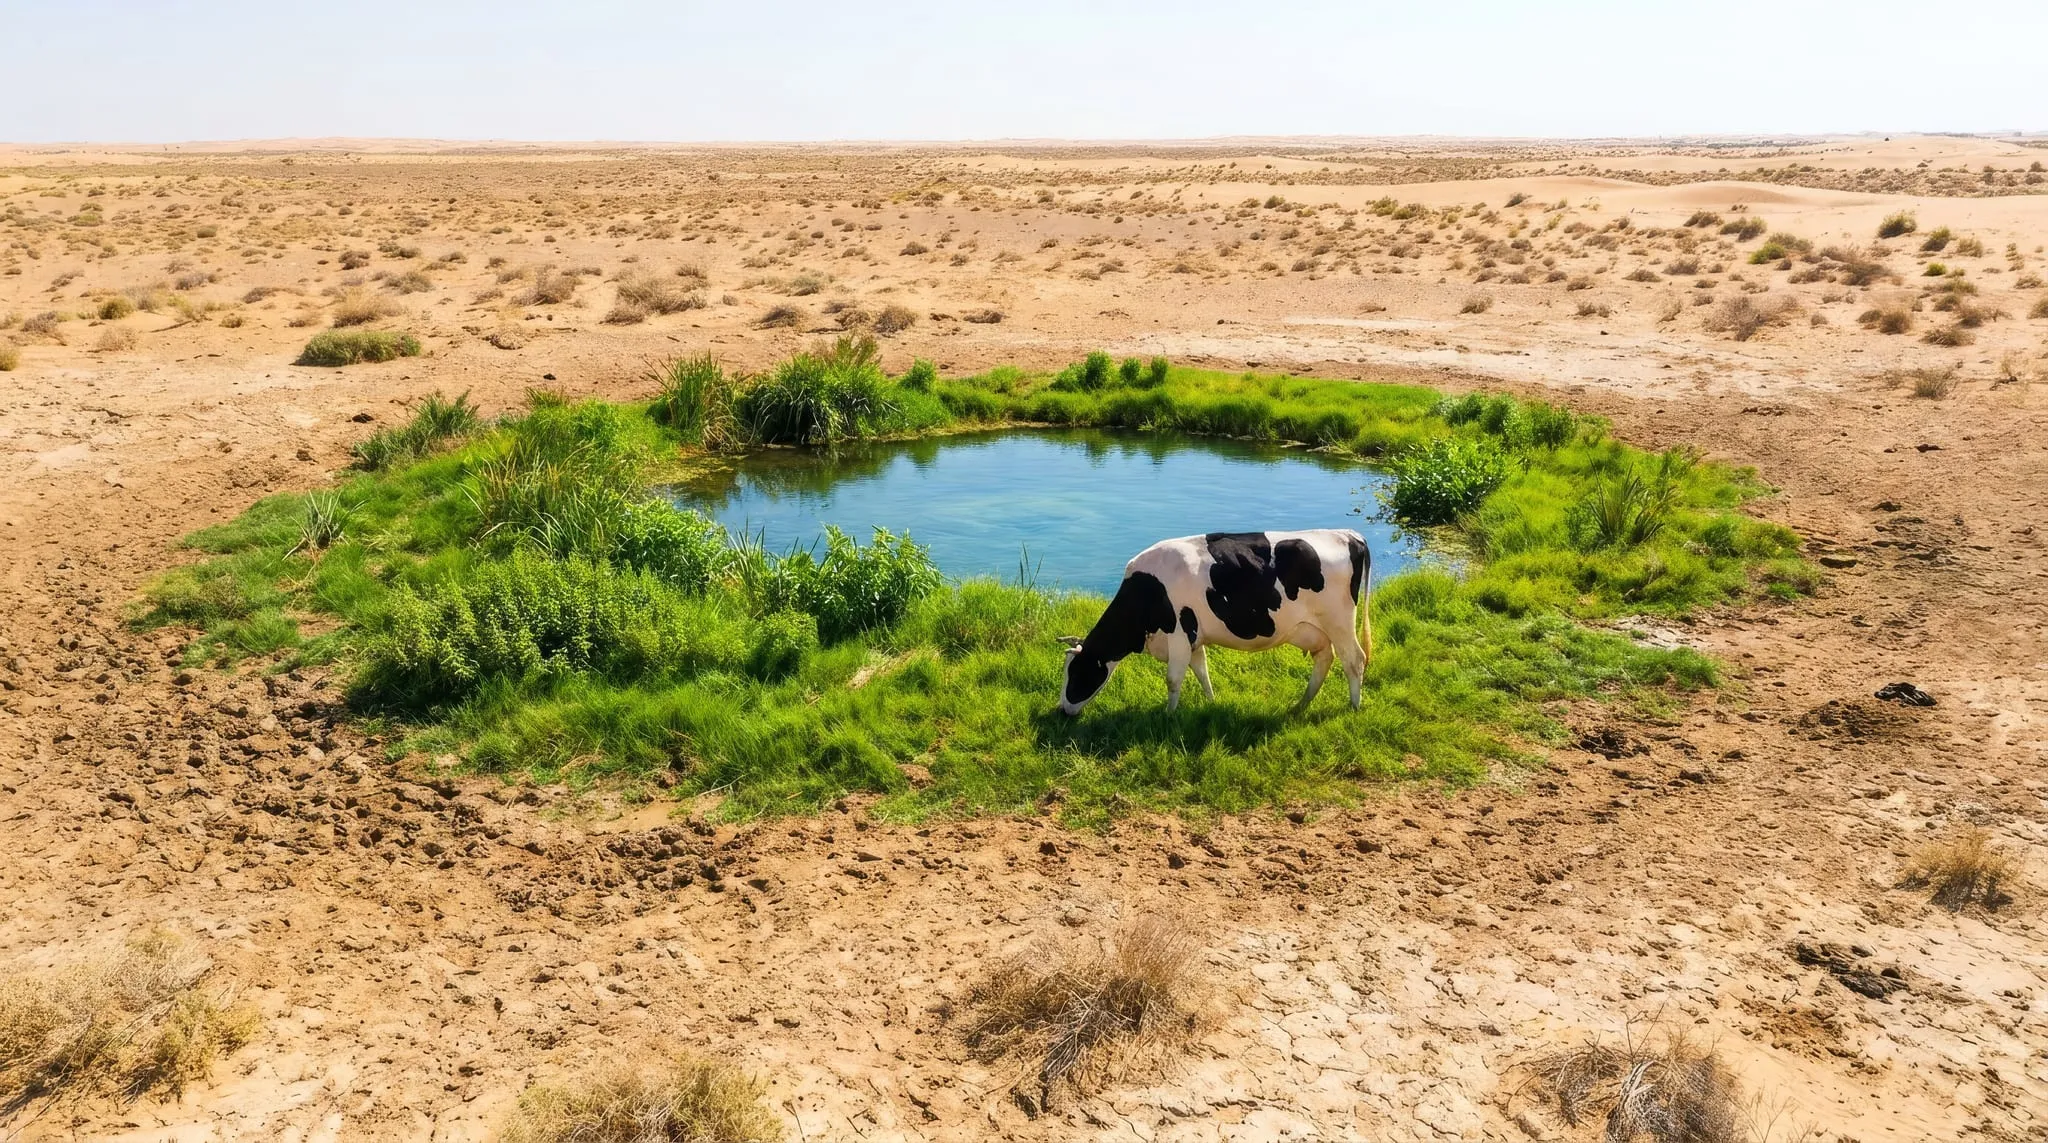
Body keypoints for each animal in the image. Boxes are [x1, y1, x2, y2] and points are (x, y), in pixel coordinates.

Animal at [1057, 529, 1371, 717]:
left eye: (1077, 673)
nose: (1062, 710)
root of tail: (1347, 534)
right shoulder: (1194, 637)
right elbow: (1201, 671)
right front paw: (1211, 702)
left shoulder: (1179, 633)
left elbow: (1173, 679)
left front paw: (1168, 715)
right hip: (1315, 629)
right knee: (1325, 658)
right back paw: (1300, 705)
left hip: (1340, 622)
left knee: (1354, 659)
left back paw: (1354, 707)